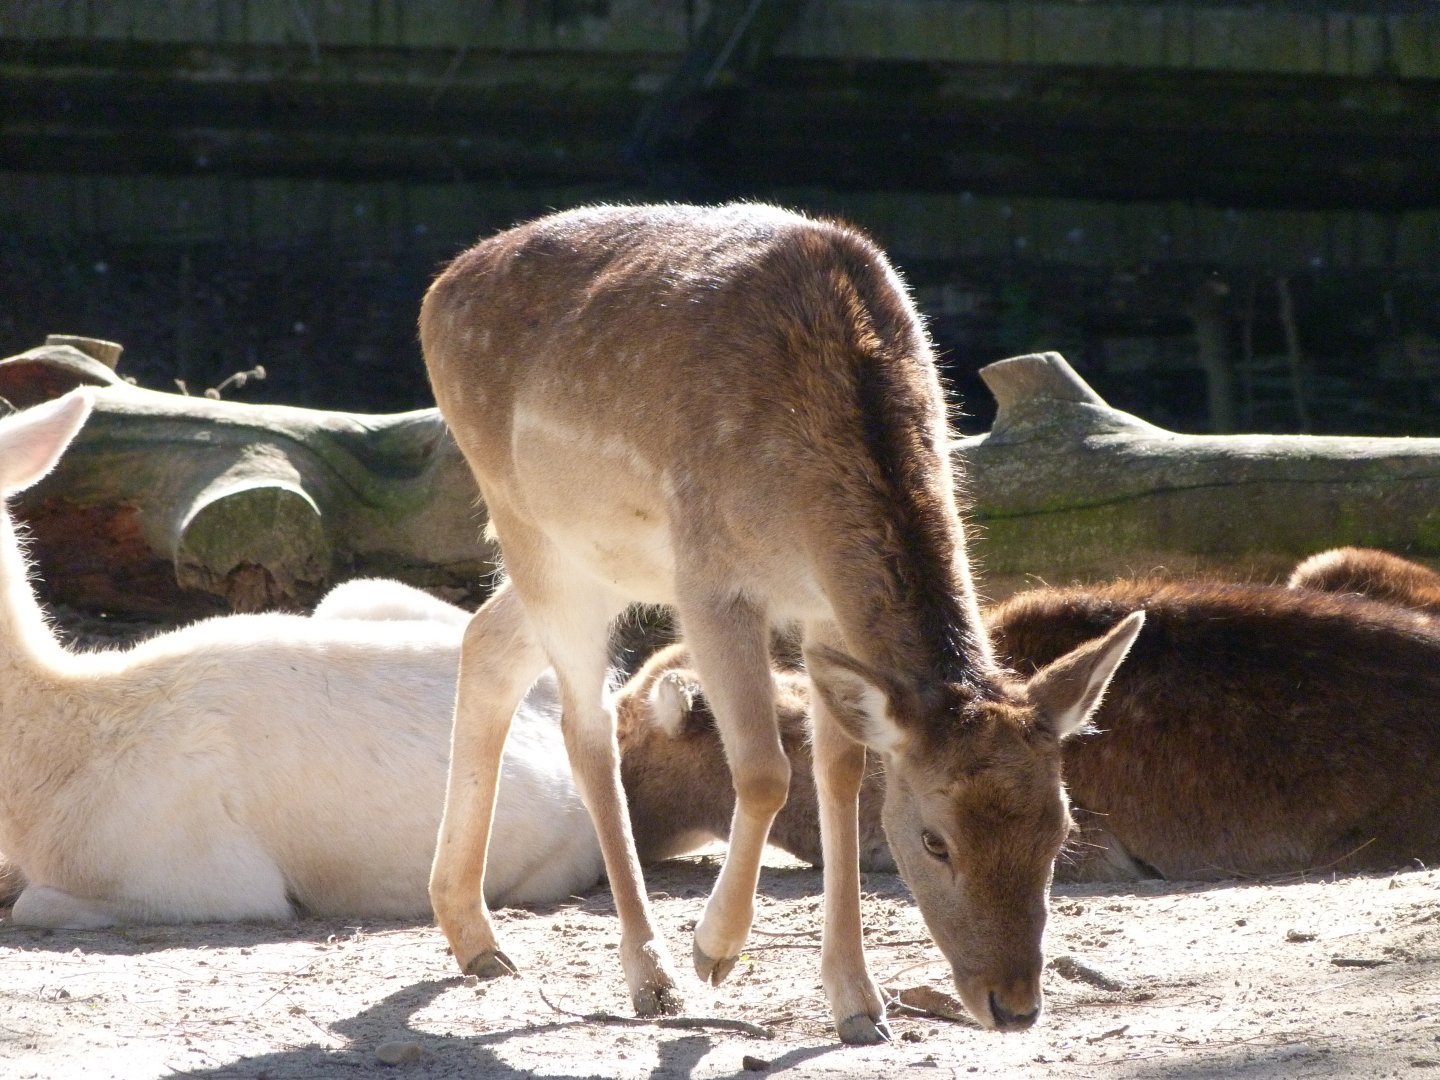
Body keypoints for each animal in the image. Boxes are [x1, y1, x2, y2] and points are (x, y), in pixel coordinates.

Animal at [419, 201, 1143, 1042]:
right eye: (935, 841)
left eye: (1060, 829)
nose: (1015, 1006)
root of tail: (436, 293)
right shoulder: (710, 577)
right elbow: (765, 770)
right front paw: (714, 950)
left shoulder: (827, 608)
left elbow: (842, 771)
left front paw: (858, 1003)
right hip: (532, 527)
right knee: (585, 728)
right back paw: (650, 974)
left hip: (596, 562)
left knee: (486, 641)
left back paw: (475, 938)